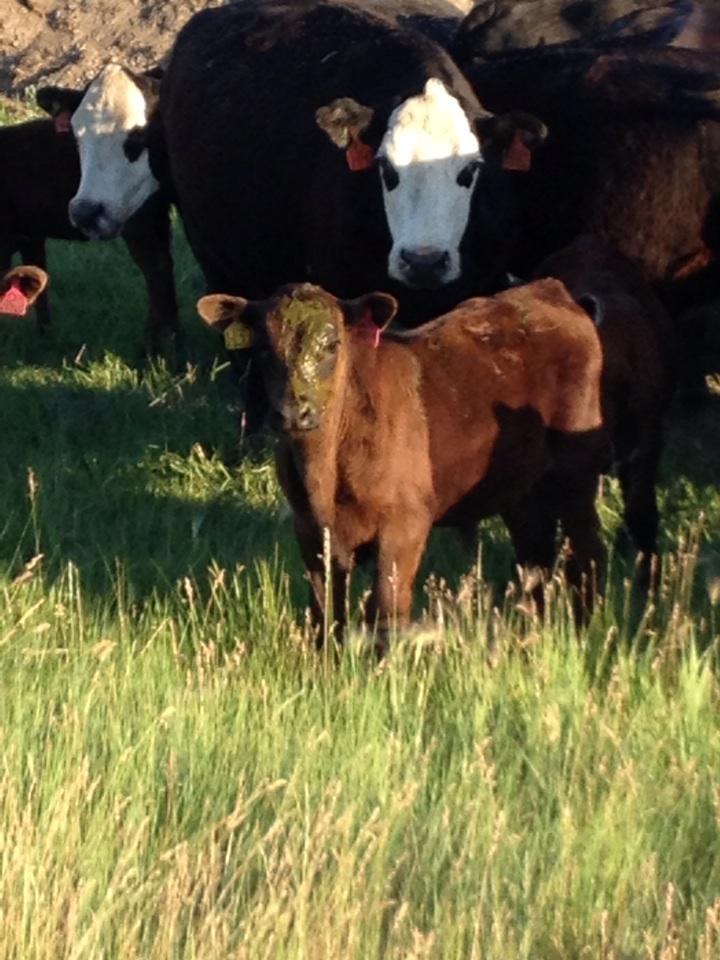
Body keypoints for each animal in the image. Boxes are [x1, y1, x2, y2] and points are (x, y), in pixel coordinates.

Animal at [197, 279, 607, 643]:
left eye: (332, 344)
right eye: (264, 349)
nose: (294, 412)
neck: (325, 475)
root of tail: (553, 290)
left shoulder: (404, 526)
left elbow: (386, 610)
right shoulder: (311, 532)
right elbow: (325, 614)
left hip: (576, 475)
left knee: (586, 551)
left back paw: (584, 630)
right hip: (519, 488)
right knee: (534, 555)